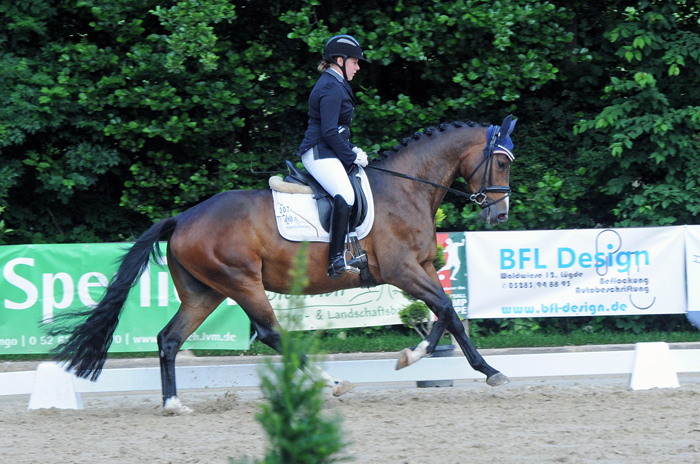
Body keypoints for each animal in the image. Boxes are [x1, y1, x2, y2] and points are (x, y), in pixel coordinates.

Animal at [50, 115, 516, 414]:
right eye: (501, 161)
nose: (500, 214)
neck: (406, 188)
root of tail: (182, 218)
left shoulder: (420, 269)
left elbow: (444, 315)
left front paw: (413, 355)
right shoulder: (402, 270)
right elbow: (449, 311)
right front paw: (491, 371)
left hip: (205, 292)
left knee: (169, 338)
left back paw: (173, 404)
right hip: (241, 282)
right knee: (271, 333)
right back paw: (331, 383)